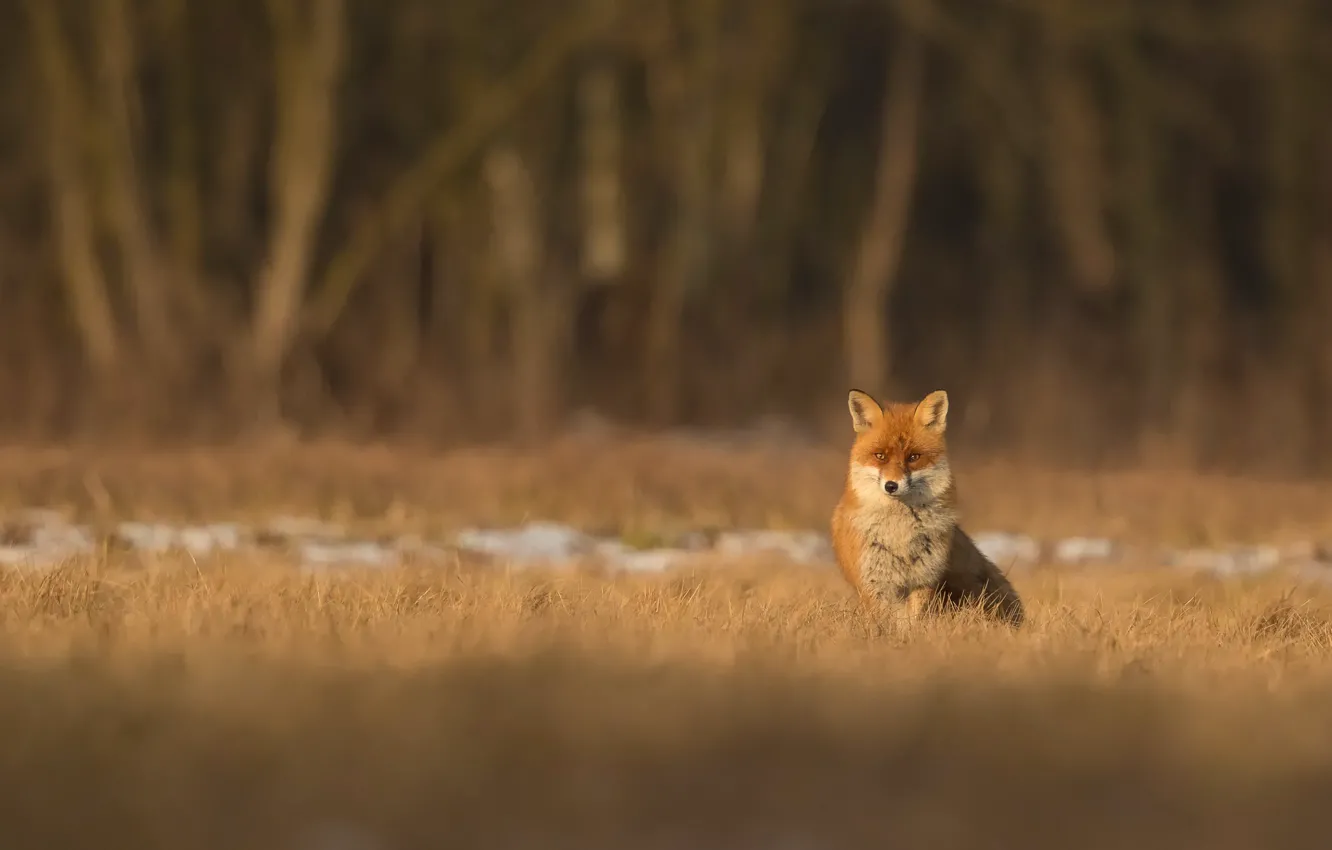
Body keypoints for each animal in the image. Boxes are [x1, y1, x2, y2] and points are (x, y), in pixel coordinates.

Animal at [830, 388, 1024, 627]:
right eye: (880, 456)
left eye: (913, 457)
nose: (891, 485)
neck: (900, 534)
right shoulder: (876, 584)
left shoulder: (924, 579)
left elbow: (914, 622)